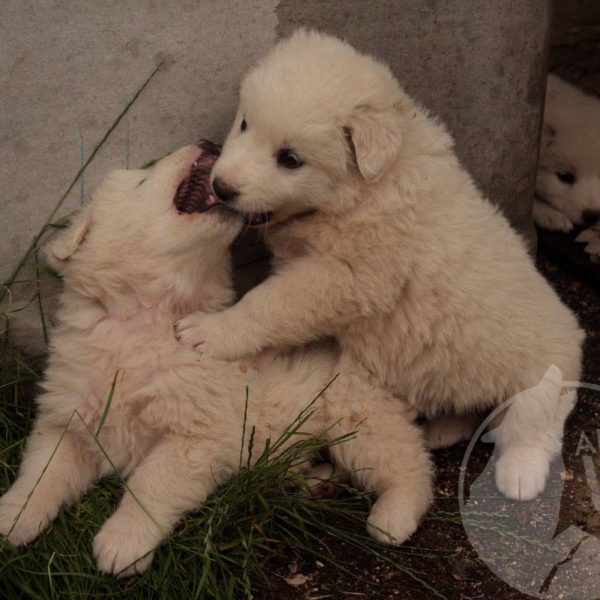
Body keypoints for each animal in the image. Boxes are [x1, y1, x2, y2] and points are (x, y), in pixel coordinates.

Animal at [0, 142, 432, 576]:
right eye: (142, 179)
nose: (208, 145)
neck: (147, 322)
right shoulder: (68, 421)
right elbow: (42, 471)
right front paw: (14, 514)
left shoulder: (200, 435)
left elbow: (151, 481)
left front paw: (123, 541)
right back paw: (315, 481)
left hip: (356, 420)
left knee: (411, 465)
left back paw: (393, 516)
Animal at [176, 31, 584, 502]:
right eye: (245, 124)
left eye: (290, 159)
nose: (222, 186)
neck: (364, 189)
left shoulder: (343, 278)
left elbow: (271, 303)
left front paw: (211, 332)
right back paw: (444, 429)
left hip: (542, 376)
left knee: (533, 426)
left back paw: (519, 475)